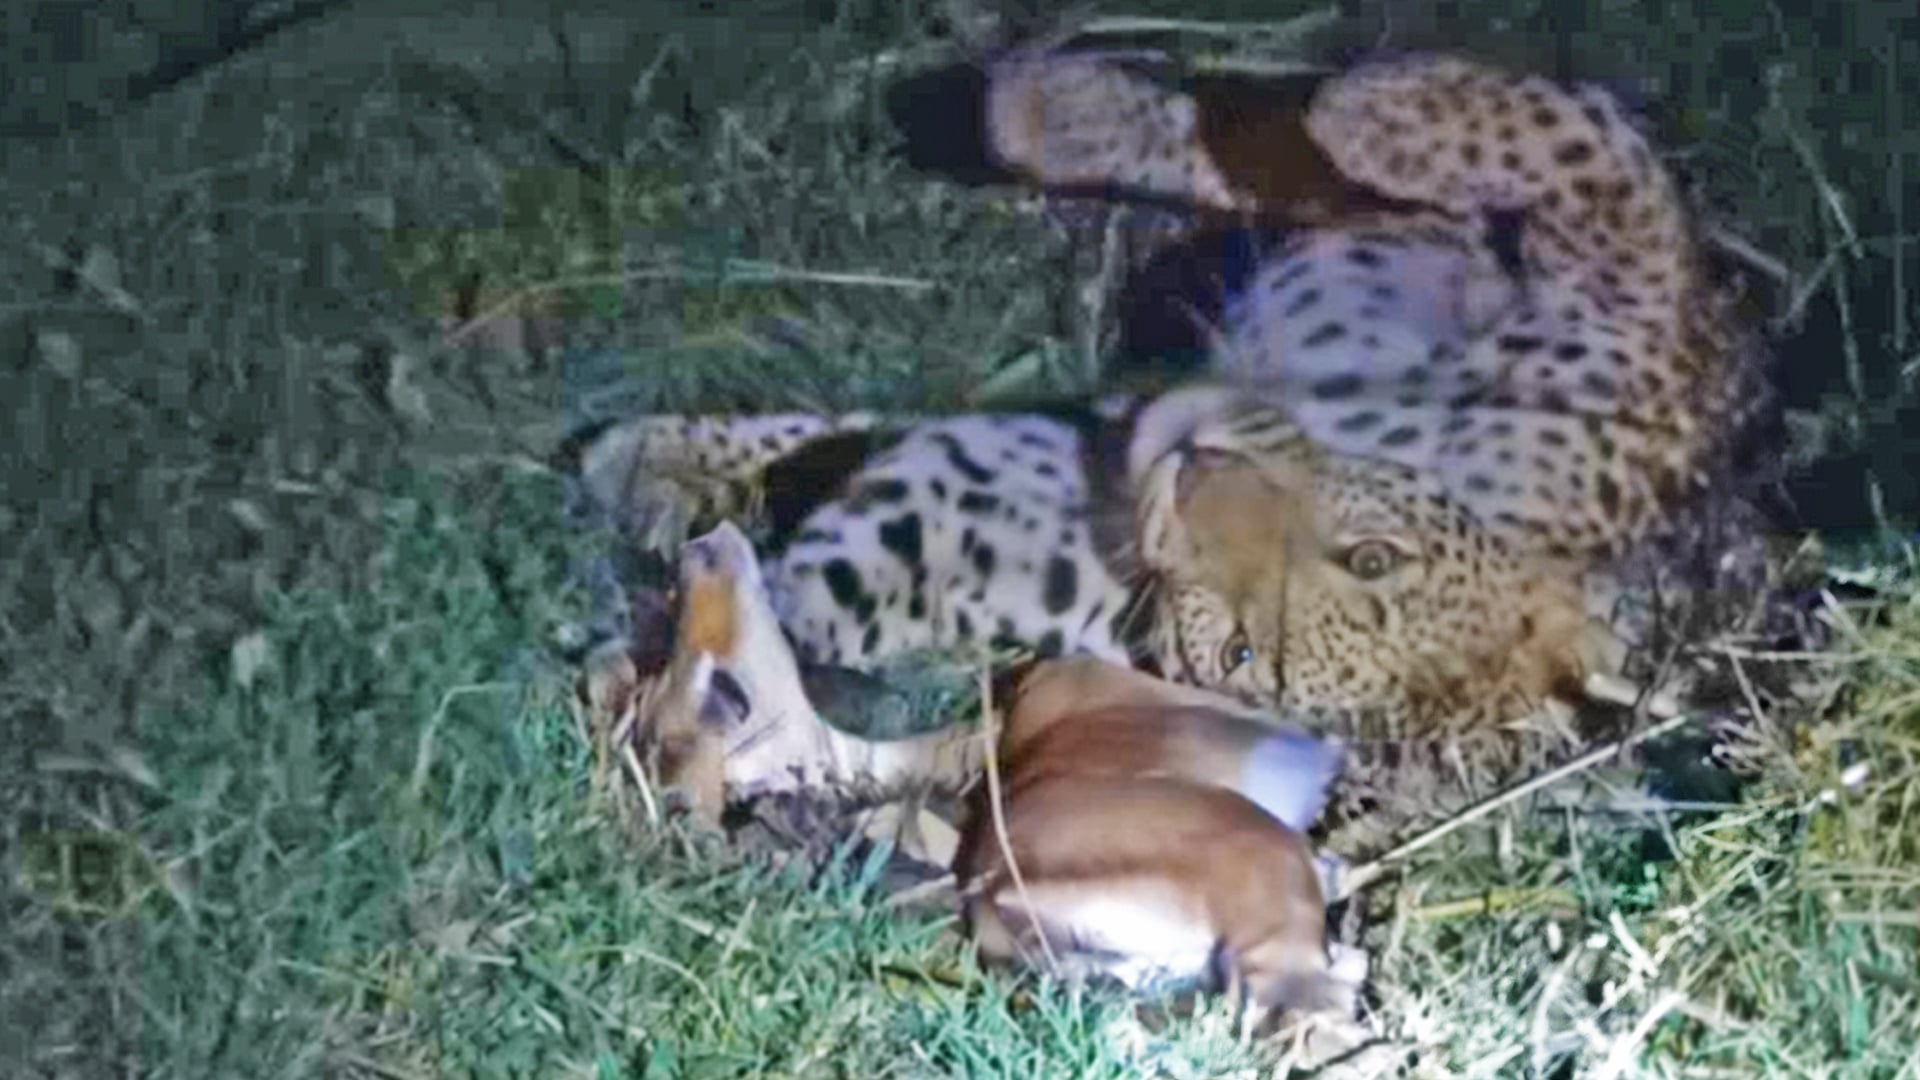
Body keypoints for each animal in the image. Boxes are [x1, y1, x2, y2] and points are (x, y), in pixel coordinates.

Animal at [571, 47, 1778, 743]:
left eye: (1242, 657)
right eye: (1370, 556)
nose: (1190, 476)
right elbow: (1559, 128)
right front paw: (653, 458)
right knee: (1326, 178)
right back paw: (1057, 106)